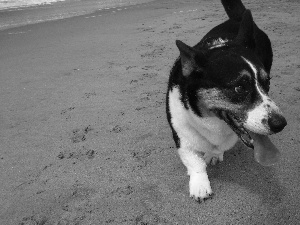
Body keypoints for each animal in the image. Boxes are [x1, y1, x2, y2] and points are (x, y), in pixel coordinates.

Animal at [165, 0, 288, 201]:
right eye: (239, 88)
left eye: (266, 82)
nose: (281, 124)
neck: (212, 121)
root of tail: (239, 18)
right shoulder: (181, 134)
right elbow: (194, 161)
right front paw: (200, 186)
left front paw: (214, 154)